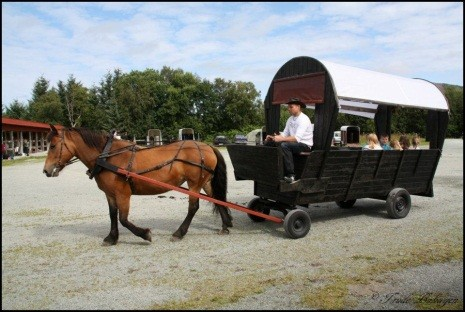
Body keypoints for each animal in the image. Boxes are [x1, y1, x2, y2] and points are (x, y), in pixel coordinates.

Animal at [42, 125, 231, 245]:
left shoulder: (123, 194)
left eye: (53, 146)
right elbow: (112, 215)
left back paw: (179, 233)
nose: (46, 170)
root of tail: (207, 147)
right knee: (217, 199)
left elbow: (123, 219)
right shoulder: (110, 194)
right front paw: (112, 237)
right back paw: (225, 225)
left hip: (194, 184)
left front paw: (145, 234)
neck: (108, 157)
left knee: (193, 207)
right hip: (205, 182)